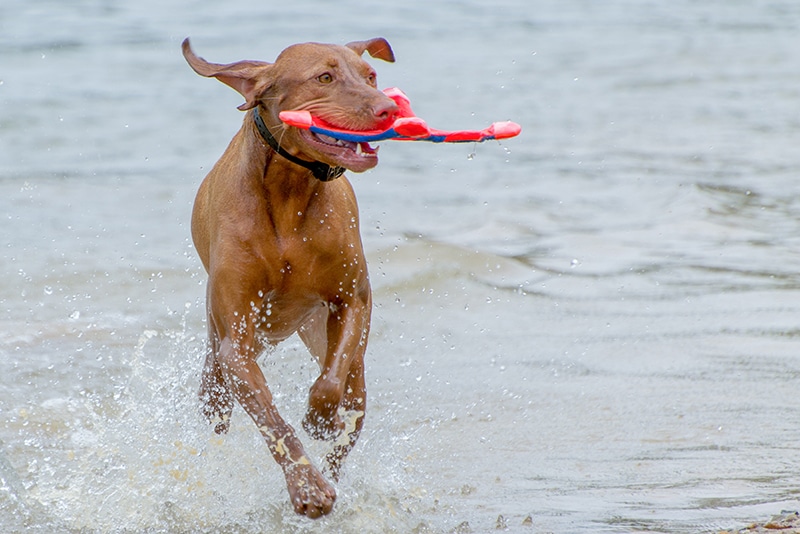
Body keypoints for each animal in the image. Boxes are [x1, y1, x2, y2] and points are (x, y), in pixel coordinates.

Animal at [179, 36, 396, 520]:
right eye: (324, 77)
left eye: (370, 76)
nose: (388, 108)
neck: (289, 190)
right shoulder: (236, 347)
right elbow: (274, 424)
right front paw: (306, 488)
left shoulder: (351, 301)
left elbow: (329, 384)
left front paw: (319, 419)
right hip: (215, 376)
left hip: (346, 362)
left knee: (349, 413)